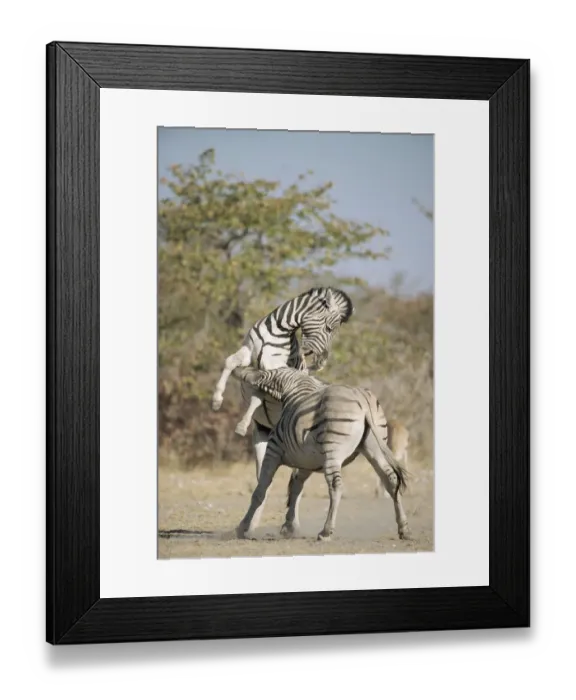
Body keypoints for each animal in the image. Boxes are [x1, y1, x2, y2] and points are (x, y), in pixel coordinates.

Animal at [211, 287, 354, 481]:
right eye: (328, 328)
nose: (322, 362)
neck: (278, 329)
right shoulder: (248, 351)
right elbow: (229, 362)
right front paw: (216, 400)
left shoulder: (276, 367)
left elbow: (259, 392)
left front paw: (242, 423)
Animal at [230, 366, 412, 543]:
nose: (234, 369)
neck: (293, 391)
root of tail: (362, 399)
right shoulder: (306, 460)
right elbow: (295, 488)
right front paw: (289, 527)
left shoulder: (273, 451)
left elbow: (261, 489)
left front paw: (242, 528)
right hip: (374, 447)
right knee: (391, 479)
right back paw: (404, 528)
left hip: (333, 451)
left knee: (336, 486)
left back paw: (326, 532)